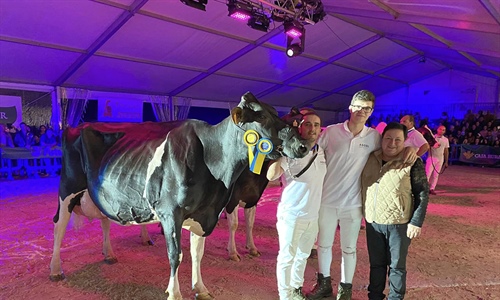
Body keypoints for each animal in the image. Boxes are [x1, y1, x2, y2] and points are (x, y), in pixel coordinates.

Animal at [50, 91, 308, 300]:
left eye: (277, 113)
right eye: (261, 116)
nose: (302, 145)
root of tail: (75, 126)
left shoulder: (205, 213)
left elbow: (197, 253)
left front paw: (200, 288)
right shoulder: (170, 212)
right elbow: (176, 255)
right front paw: (174, 293)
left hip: (101, 195)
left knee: (105, 220)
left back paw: (109, 254)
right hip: (67, 190)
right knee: (59, 227)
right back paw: (55, 269)